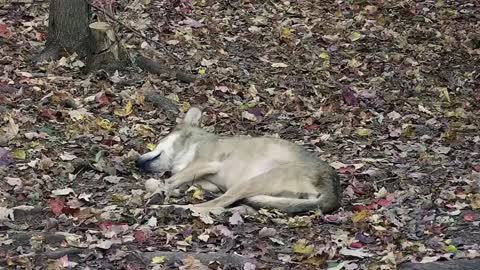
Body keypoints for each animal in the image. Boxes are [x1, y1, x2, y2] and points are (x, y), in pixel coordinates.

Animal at [136, 106, 342, 214]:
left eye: (158, 141)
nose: (136, 162)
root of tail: (334, 192)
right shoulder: (208, 181)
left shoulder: (205, 162)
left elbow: (169, 179)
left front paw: (161, 190)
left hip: (252, 181)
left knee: (214, 204)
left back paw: (172, 207)